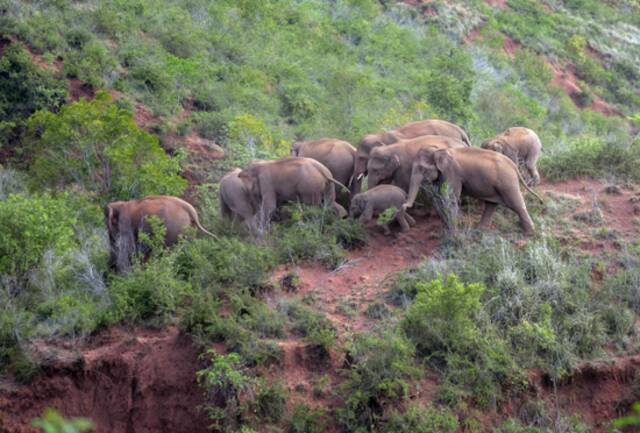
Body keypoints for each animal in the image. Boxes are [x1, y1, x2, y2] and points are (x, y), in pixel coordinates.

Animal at [402, 147, 544, 235]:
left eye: (422, 169)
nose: (404, 206)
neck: (437, 150)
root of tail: (513, 165)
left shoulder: (452, 173)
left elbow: (451, 199)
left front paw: (452, 233)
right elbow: (441, 198)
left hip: (507, 182)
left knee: (517, 205)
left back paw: (530, 233)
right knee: (491, 204)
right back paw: (480, 230)